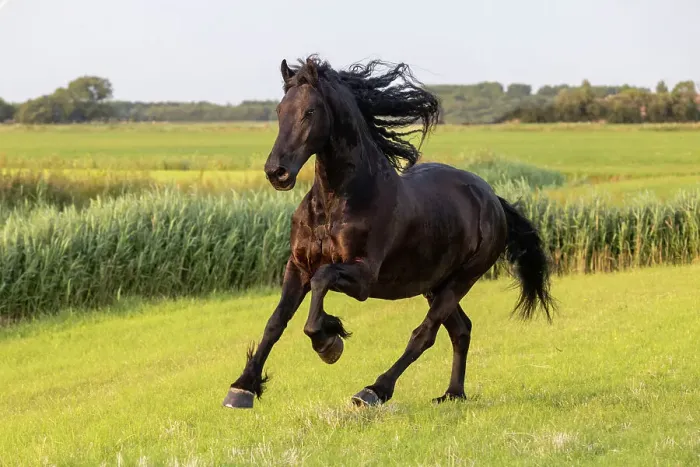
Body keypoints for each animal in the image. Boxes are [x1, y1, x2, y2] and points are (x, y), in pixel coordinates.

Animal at [222, 56, 555, 409]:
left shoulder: (363, 278)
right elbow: (275, 322)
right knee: (460, 329)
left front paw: (329, 341)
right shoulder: (297, 266)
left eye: (310, 111)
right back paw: (452, 394)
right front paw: (242, 388)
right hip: (434, 283)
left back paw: (373, 390)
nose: (277, 172)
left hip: (462, 280)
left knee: (425, 334)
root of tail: (492, 198)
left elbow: (322, 282)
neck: (337, 202)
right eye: (279, 110)